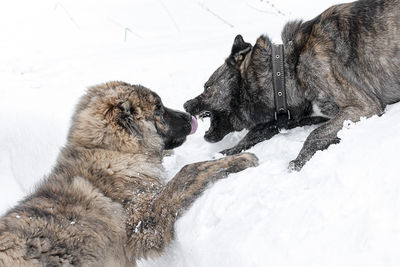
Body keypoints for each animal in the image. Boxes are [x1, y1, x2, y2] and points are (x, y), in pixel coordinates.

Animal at [185, 0, 400, 172]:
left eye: (207, 87)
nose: (185, 105)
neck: (285, 71)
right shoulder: (294, 115)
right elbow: (255, 133)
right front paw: (227, 152)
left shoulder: (363, 107)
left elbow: (316, 134)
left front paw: (298, 162)